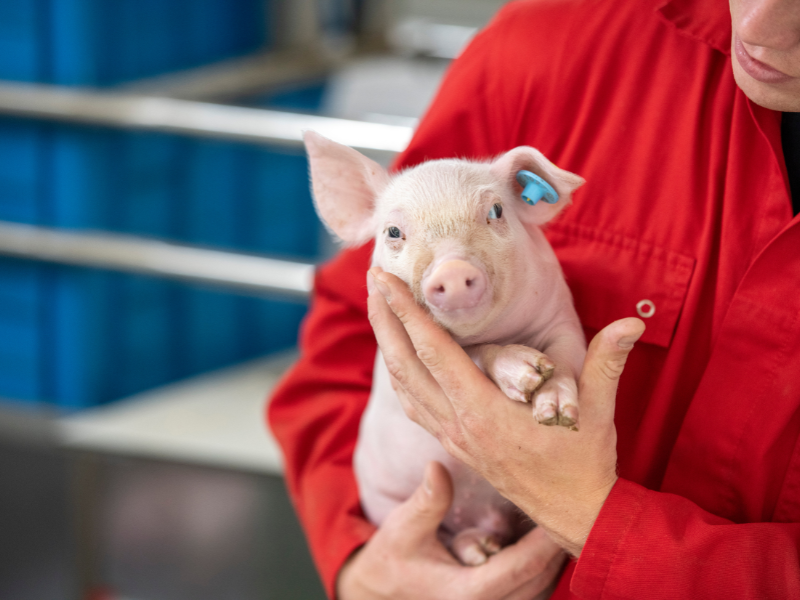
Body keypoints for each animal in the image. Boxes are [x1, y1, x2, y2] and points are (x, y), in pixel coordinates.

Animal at [304, 130, 587, 566]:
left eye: (496, 210)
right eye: (393, 232)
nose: (453, 270)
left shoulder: (562, 317)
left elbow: (567, 354)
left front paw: (553, 411)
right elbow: (476, 354)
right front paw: (525, 374)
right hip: (385, 502)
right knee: (450, 539)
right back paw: (479, 552)